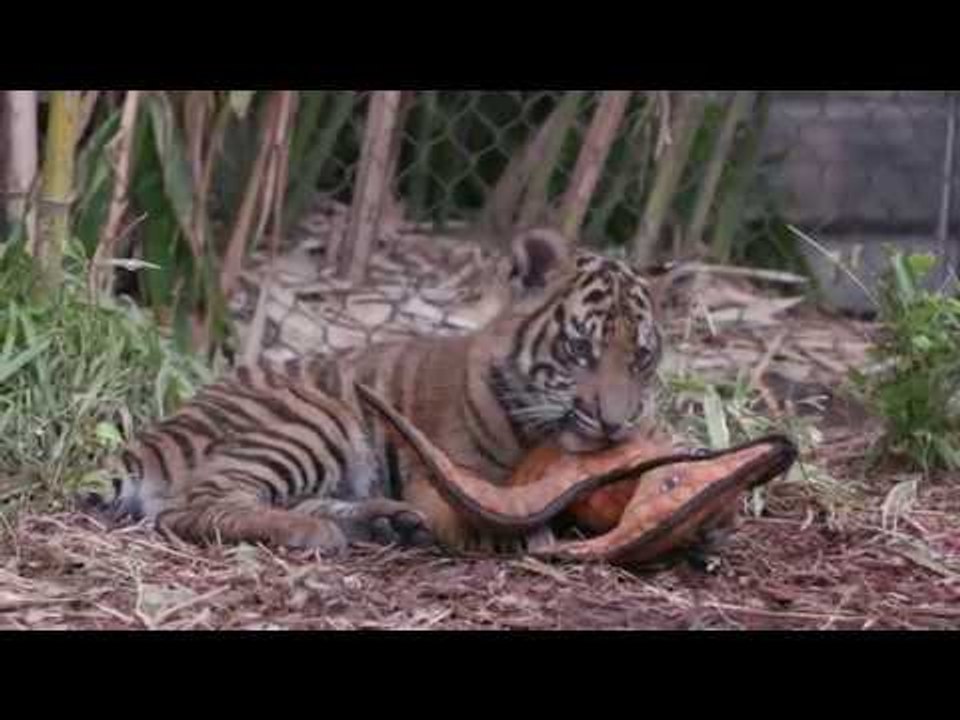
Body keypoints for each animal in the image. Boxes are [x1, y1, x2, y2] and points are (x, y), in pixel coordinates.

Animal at [85, 227, 664, 555]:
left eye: (641, 357)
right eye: (580, 349)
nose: (614, 423)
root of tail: (158, 433)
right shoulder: (446, 475)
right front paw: (516, 533)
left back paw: (386, 523)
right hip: (315, 421)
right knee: (191, 506)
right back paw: (315, 532)